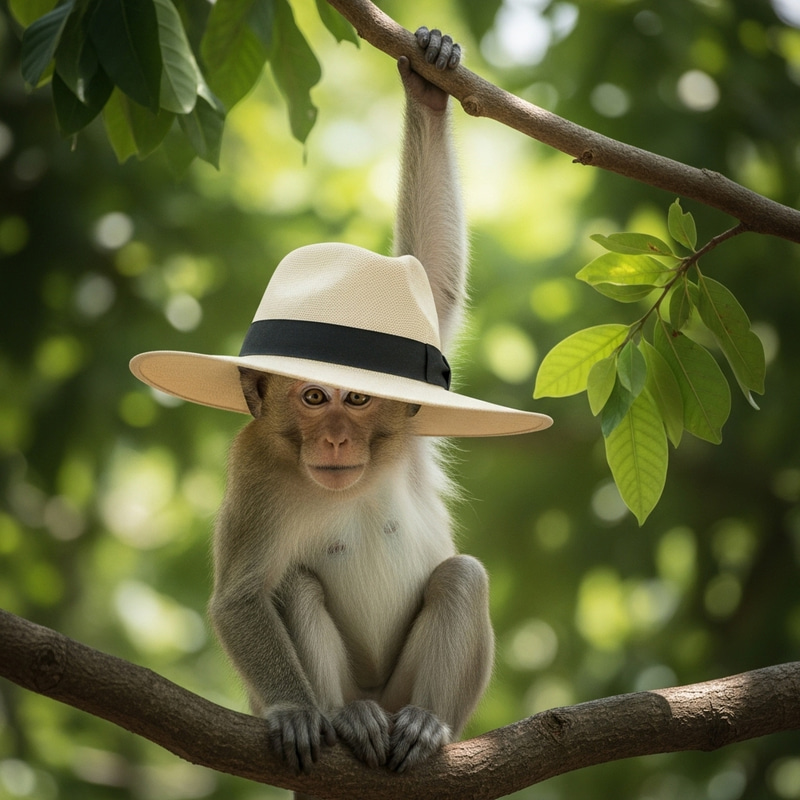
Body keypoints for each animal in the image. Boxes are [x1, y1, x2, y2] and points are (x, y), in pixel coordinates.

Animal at [207, 28, 494, 780]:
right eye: (313, 397)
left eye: (358, 399)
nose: (335, 439)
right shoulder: (253, 464)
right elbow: (241, 595)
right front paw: (292, 711)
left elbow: (436, 280)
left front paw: (429, 81)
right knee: (294, 585)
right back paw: (342, 716)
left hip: (403, 687)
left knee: (462, 576)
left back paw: (424, 724)